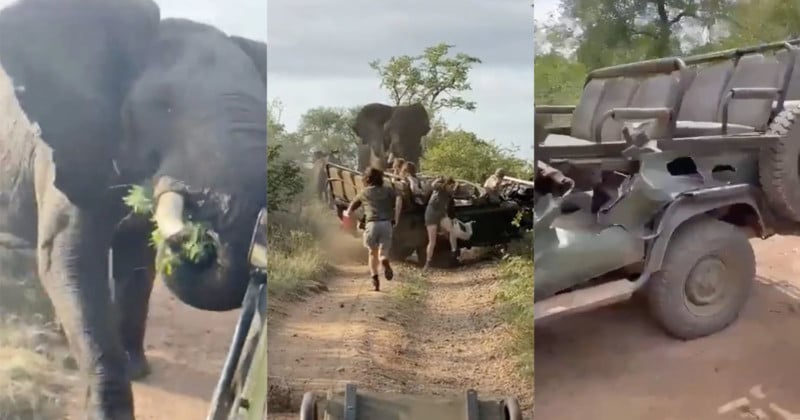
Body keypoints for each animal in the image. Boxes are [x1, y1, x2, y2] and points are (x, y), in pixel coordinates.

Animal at [0, 0, 266, 416]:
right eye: (164, 107)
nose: (199, 231)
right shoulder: (63, 151)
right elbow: (69, 260)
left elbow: (137, 263)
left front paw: (136, 370)